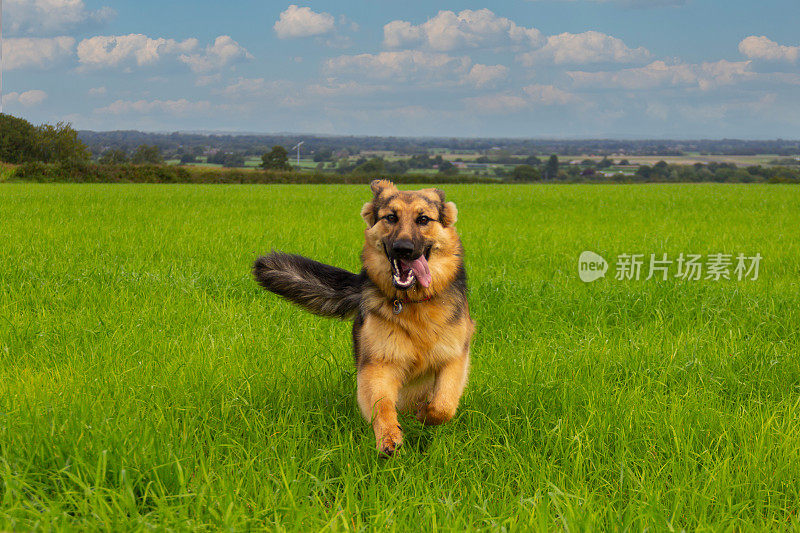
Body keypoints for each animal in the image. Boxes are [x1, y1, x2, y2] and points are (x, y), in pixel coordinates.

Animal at [253, 179, 472, 454]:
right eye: (391, 217)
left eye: (423, 219)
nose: (403, 248)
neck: (414, 303)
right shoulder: (377, 365)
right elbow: (382, 407)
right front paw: (388, 437)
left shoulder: (454, 358)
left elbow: (443, 406)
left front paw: (425, 414)